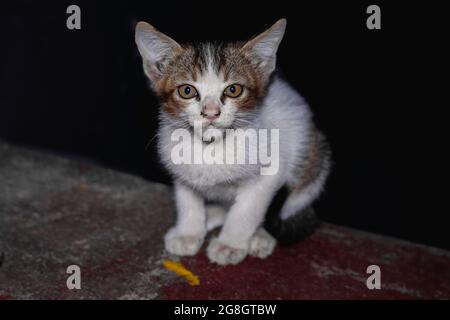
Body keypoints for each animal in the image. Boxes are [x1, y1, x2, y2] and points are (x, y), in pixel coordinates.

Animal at [134, 18, 330, 266]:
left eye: (233, 89)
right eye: (187, 90)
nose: (210, 113)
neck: (211, 146)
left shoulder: (271, 172)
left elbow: (246, 210)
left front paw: (230, 244)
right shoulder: (178, 165)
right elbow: (187, 198)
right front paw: (188, 232)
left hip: (313, 158)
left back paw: (258, 235)